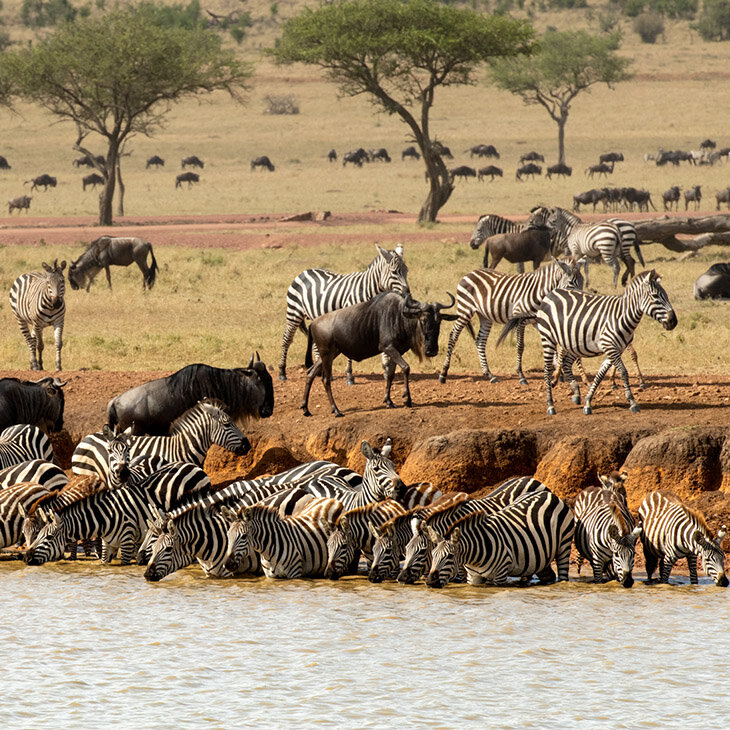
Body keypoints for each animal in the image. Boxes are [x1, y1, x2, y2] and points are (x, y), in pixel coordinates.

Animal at [276, 243, 406, 382]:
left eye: (406, 271)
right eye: (394, 272)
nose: (407, 292)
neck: (368, 290)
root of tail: (304, 272)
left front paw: (386, 369)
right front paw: (349, 375)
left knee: (316, 344)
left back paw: (320, 370)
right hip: (293, 312)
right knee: (287, 339)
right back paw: (282, 371)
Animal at [420, 486, 576, 588]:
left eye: (450, 556)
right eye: (433, 554)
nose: (430, 582)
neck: (475, 556)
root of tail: (549, 494)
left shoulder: (500, 575)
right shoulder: (473, 578)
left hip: (564, 545)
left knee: (562, 572)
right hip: (538, 555)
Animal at [436, 256, 584, 384]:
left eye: (582, 282)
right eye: (571, 283)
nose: (581, 299)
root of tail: (470, 273)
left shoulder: (538, 321)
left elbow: (552, 346)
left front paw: (558, 375)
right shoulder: (519, 319)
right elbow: (520, 346)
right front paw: (521, 375)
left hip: (485, 316)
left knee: (480, 341)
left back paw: (489, 375)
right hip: (465, 310)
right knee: (453, 336)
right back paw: (443, 373)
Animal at [498, 268, 672, 416]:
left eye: (666, 295)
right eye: (656, 296)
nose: (674, 321)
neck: (622, 315)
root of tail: (550, 294)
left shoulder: (615, 348)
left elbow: (601, 374)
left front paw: (588, 402)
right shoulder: (610, 346)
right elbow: (623, 371)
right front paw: (632, 402)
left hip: (571, 341)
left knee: (566, 363)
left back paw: (575, 392)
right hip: (548, 337)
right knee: (547, 368)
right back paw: (550, 404)